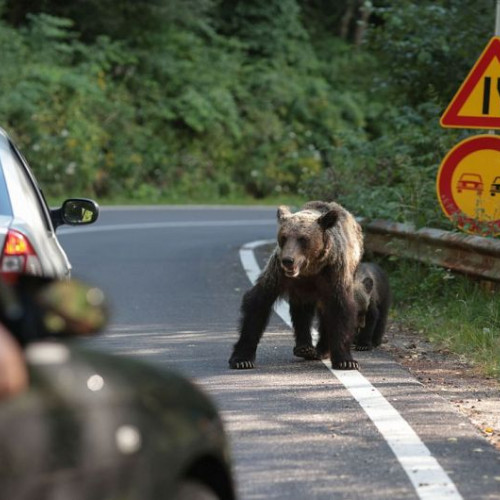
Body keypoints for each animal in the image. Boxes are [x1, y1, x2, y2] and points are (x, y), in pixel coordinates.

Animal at [229, 200, 364, 372]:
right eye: (284, 237)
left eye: (303, 239)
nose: (288, 260)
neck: (309, 269)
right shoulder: (278, 273)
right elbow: (258, 303)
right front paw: (242, 359)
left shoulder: (333, 272)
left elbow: (340, 308)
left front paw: (345, 361)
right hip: (299, 289)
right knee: (301, 310)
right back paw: (304, 347)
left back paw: (321, 349)